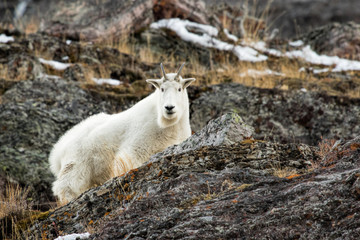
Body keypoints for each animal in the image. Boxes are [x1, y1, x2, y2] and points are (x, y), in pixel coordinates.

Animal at [49, 62, 195, 203]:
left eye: (179, 89)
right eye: (162, 89)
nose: (169, 108)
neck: (168, 125)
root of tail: (58, 151)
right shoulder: (137, 149)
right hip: (75, 166)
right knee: (65, 188)